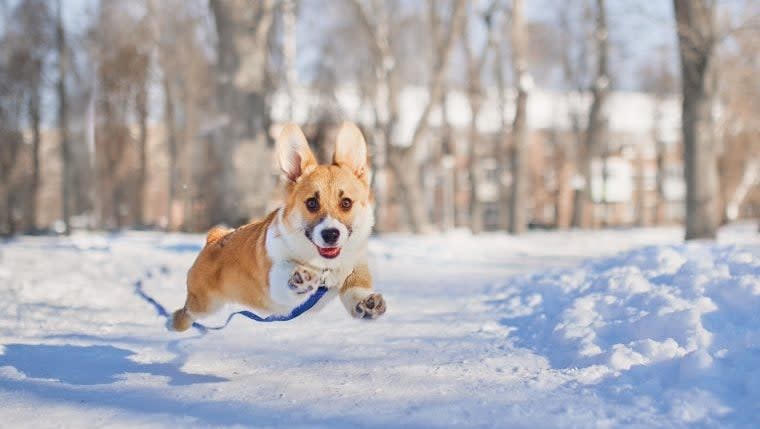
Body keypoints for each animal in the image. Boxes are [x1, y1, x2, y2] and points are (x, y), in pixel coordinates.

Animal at [172, 122, 386, 330]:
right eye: (311, 203)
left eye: (346, 203)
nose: (331, 234)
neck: (324, 266)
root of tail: (215, 237)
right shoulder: (273, 279)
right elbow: (285, 277)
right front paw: (301, 278)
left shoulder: (356, 267)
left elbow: (356, 288)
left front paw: (367, 303)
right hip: (204, 303)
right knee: (184, 314)